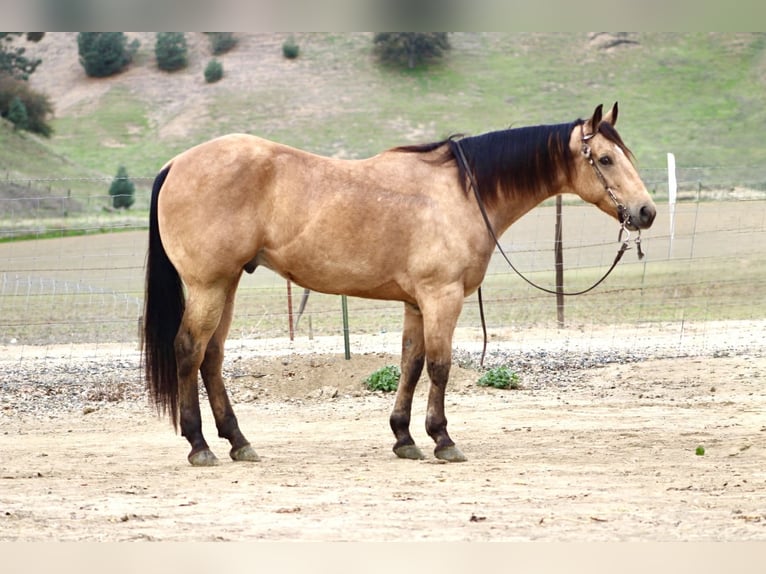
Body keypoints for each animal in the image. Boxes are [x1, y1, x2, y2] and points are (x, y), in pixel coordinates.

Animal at [143, 103, 656, 466]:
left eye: (626, 155)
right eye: (605, 158)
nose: (646, 212)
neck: (461, 193)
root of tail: (175, 164)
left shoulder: (415, 303)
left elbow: (410, 364)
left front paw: (404, 437)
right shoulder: (441, 297)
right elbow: (440, 367)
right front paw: (442, 438)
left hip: (226, 285)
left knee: (211, 357)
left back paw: (238, 441)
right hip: (209, 285)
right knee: (189, 350)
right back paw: (199, 445)